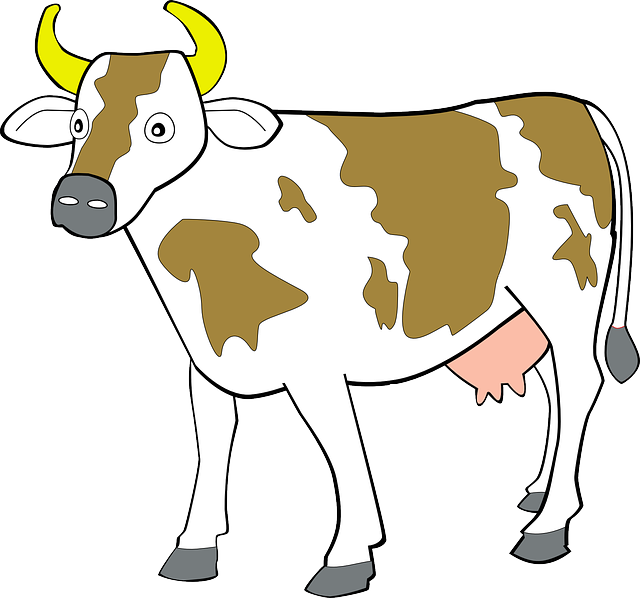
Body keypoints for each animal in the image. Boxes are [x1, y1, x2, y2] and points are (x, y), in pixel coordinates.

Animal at [2, 2, 639, 596]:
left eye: (161, 127)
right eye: (78, 123)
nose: (81, 199)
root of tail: (572, 105)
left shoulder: (315, 363)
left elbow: (341, 446)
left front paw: (349, 555)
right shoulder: (205, 359)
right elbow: (213, 441)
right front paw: (194, 547)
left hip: (565, 288)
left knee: (581, 379)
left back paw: (549, 525)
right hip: (527, 305)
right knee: (556, 384)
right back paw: (539, 491)